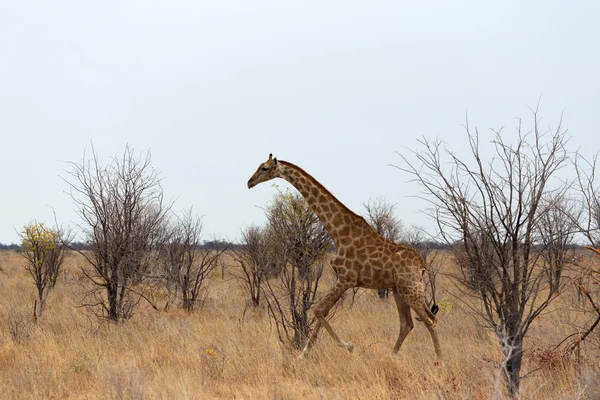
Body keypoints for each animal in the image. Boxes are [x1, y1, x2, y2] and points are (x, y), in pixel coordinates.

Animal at [247, 155, 440, 358]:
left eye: (265, 168)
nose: (249, 182)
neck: (338, 232)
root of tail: (422, 264)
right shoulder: (343, 279)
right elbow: (320, 311)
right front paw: (303, 355)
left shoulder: (346, 279)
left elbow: (317, 309)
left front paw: (348, 345)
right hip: (398, 289)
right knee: (408, 323)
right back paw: (392, 355)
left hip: (410, 289)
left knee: (429, 320)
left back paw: (439, 360)